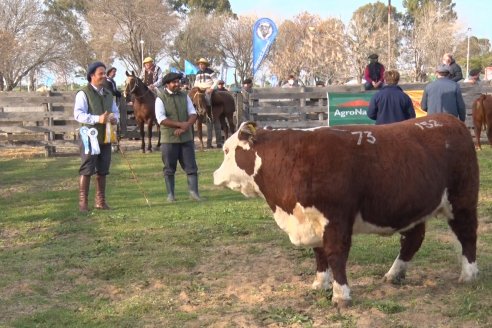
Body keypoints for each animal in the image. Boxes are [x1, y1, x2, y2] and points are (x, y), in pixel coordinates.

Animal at [213, 113, 478, 308]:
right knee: (413, 239)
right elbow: (319, 254)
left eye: (226, 150)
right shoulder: (313, 220)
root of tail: (449, 119)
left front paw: (341, 295)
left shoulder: (336, 218)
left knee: (467, 235)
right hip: (414, 206)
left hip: (462, 201)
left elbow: (335, 254)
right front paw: (320, 284)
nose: (215, 175)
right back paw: (394, 274)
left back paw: (469, 274)